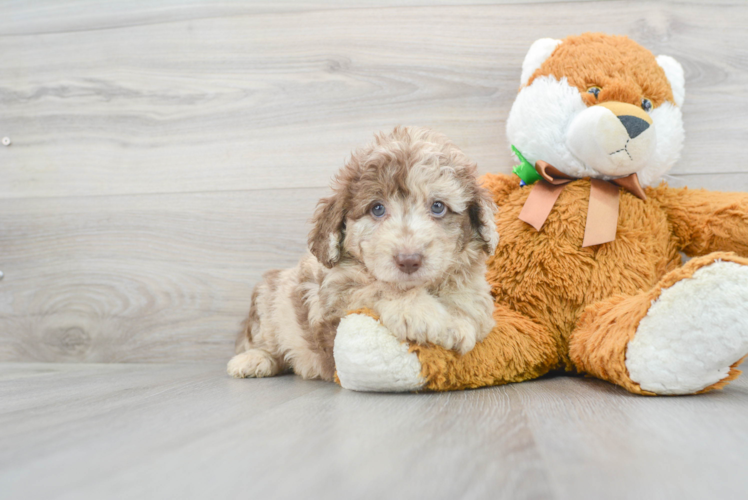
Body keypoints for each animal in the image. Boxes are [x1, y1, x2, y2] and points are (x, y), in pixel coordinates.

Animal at [226, 127, 496, 380]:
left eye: (438, 206)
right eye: (377, 209)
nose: (409, 261)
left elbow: (472, 301)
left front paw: (457, 319)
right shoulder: (334, 296)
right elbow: (377, 287)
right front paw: (421, 313)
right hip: (268, 300)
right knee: (260, 341)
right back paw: (253, 359)